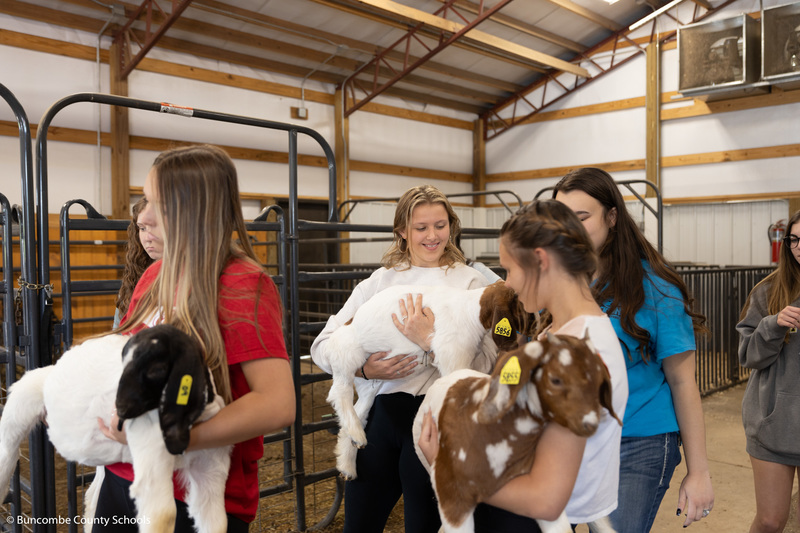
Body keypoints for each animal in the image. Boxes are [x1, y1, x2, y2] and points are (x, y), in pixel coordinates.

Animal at [0, 324, 231, 532]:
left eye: (157, 369)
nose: (120, 408)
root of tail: (53, 368)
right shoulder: (151, 451)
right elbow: (162, 515)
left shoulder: (210, 468)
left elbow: (218, 523)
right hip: (19, 406)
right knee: (7, 453)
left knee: (93, 493)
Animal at [324, 278, 532, 478]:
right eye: (520, 301)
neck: (470, 311)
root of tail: (346, 325)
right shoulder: (453, 358)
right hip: (349, 354)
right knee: (340, 392)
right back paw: (356, 437)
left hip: (372, 382)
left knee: (360, 409)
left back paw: (348, 463)